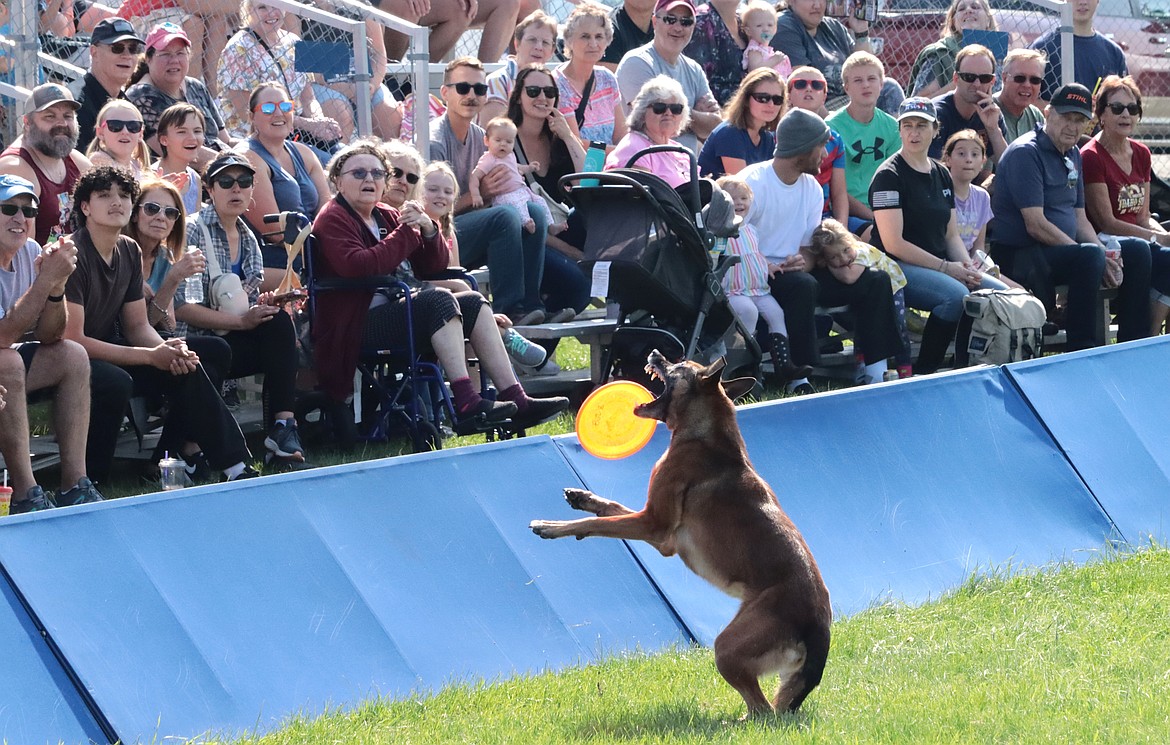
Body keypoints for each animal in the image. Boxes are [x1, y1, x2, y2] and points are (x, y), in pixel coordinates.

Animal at [531, 348, 833, 715]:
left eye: (677, 365)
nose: (655, 352)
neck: (703, 435)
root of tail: (819, 628)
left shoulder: (654, 527)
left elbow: (598, 524)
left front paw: (551, 526)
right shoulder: (656, 525)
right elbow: (611, 508)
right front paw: (583, 497)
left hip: (728, 647)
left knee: (761, 709)